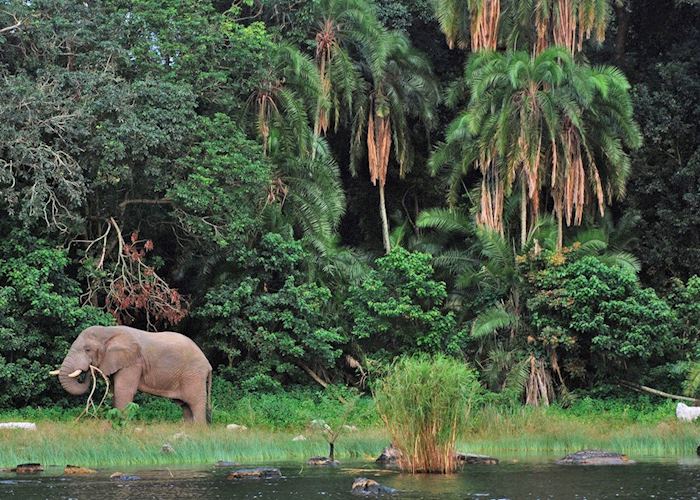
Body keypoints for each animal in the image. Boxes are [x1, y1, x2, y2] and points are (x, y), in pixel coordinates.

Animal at [50, 325, 212, 423]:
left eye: (87, 349)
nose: (89, 370)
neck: (108, 331)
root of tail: (208, 364)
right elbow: (116, 391)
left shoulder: (133, 362)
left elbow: (124, 391)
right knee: (185, 406)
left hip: (193, 374)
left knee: (195, 402)